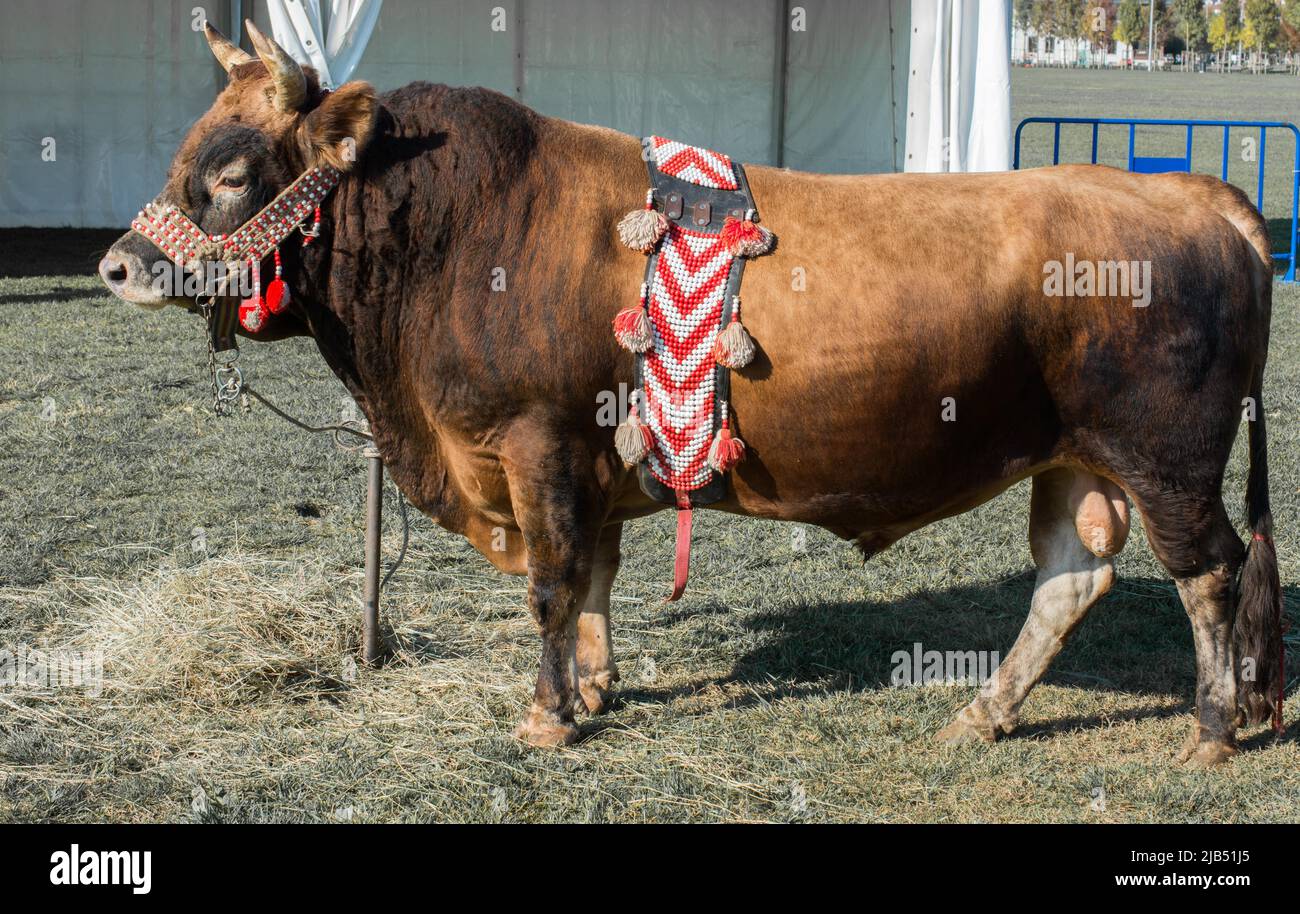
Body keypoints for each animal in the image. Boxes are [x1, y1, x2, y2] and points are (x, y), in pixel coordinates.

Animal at [96, 23, 1284, 764]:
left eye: (233, 173)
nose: (116, 265)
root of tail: (1193, 192)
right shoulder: (592, 462)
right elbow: (594, 580)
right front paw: (595, 686)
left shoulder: (536, 444)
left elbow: (551, 584)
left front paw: (549, 717)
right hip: (1073, 458)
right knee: (1072, 578)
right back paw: (984, 714)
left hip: (1168, 458)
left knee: (1211, 574)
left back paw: (1212, 728)